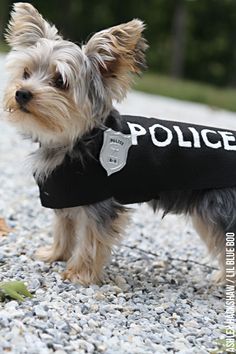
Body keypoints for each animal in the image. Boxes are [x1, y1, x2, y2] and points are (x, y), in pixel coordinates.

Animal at [2, 2, 235, 284]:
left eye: (60, 82)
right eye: (26, 72)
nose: (21, 93)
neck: (78, 138)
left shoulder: (99, 203)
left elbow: (91, 238)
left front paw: (79, 273)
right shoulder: (65, 195)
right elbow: (63, 227)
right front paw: (55, 254)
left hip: (220, 210)